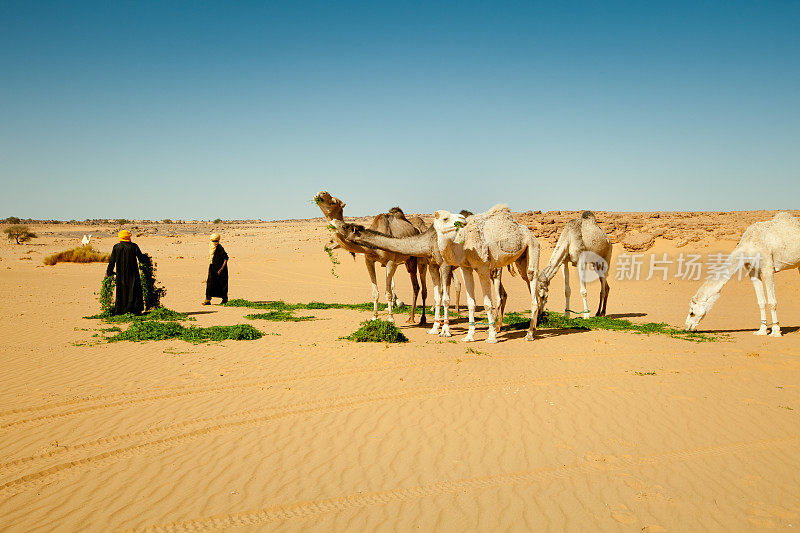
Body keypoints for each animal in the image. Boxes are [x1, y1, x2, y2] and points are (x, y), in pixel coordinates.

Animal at [314, 192, 428, 322]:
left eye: (334, 202)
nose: (321, 193)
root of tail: (417, 230)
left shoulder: (391, 262)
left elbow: (388, 292)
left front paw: (391, 318)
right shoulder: (369, 261)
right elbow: (375, 292)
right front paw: (374, 316)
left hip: (416, 259)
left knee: (418, 286)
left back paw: (419, 319)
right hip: (407, 261)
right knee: (416, 286)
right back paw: (411, 317)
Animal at [338, 216, 506, 336]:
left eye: (346, 227)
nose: (335, 223)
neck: (429, 240)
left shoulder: (444, 264)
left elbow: (445, 298)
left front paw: (445, 331)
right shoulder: (433, 264)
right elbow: (438, 295)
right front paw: (435, 328)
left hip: (493, 265)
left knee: (497, 294)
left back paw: (496, 327)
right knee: (501, 294)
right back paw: (495, 325)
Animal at [434, 204, 540, 340]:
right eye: (445, 218)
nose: (462, 218)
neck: (464, 245)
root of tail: (531, 235)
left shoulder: (483, 267)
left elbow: (488, 304)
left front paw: (491, 337)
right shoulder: (465, 268)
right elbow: (471, 303)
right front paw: (469, 336)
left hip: (533, 246)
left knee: (532, 276)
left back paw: (529, 334)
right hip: (521, 258)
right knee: (528, 281)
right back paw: (534, 327)